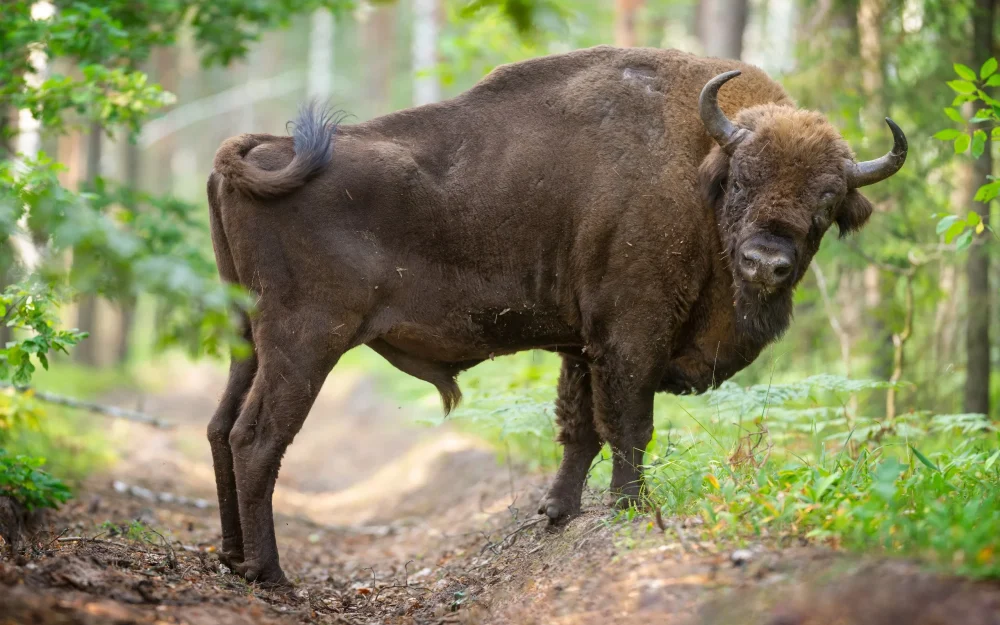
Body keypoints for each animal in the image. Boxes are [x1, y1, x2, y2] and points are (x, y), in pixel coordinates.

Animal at [205, 45, 908, 584]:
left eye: (826, 200)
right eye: (742, 179)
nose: (767, 263)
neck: (697, 166)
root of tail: (260, 149)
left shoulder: (581, 347)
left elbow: (580, 429)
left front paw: (557, 512)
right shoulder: (629, 337)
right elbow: (629, 425)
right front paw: (631, 508)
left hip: (248, 338)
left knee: (219, 428)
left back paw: (234, 558)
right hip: (305, 341)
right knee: (258, 437)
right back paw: (272, 574)